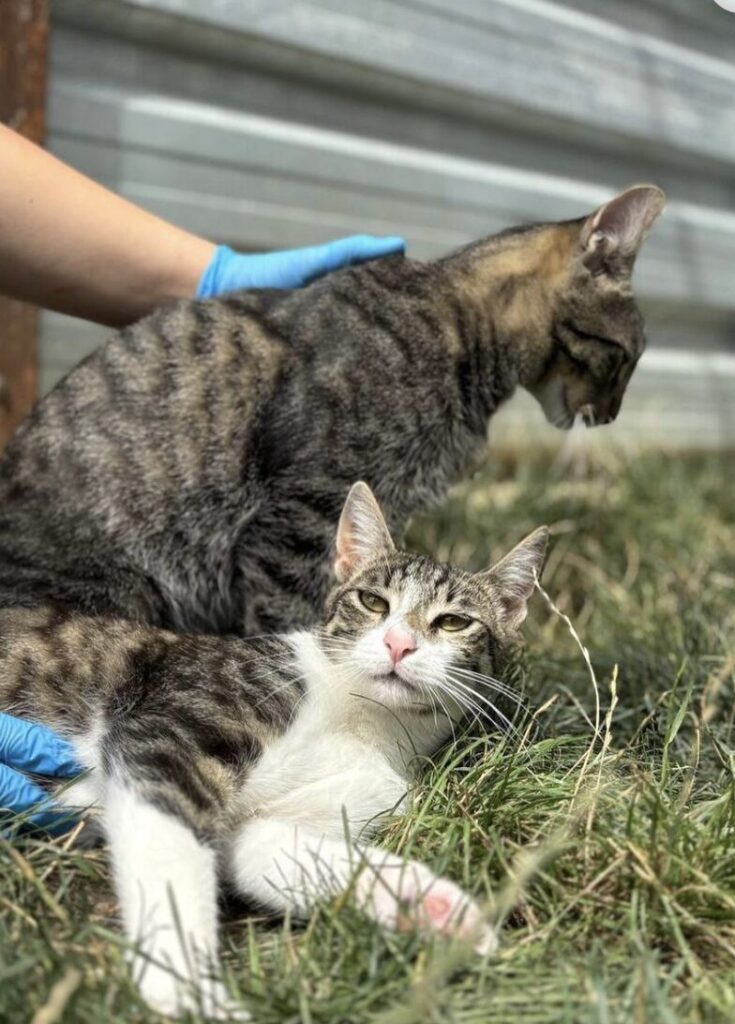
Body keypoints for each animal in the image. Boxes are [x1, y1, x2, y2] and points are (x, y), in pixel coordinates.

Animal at [1, 483, 548, 1019]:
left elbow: (274, 851)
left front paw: (427, 903)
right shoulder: (166, 735)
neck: (367, 722)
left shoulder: (317, 809)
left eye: (453, 622)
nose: (398, 644)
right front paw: (184, 988)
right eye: (373, 602)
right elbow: (170, 847)